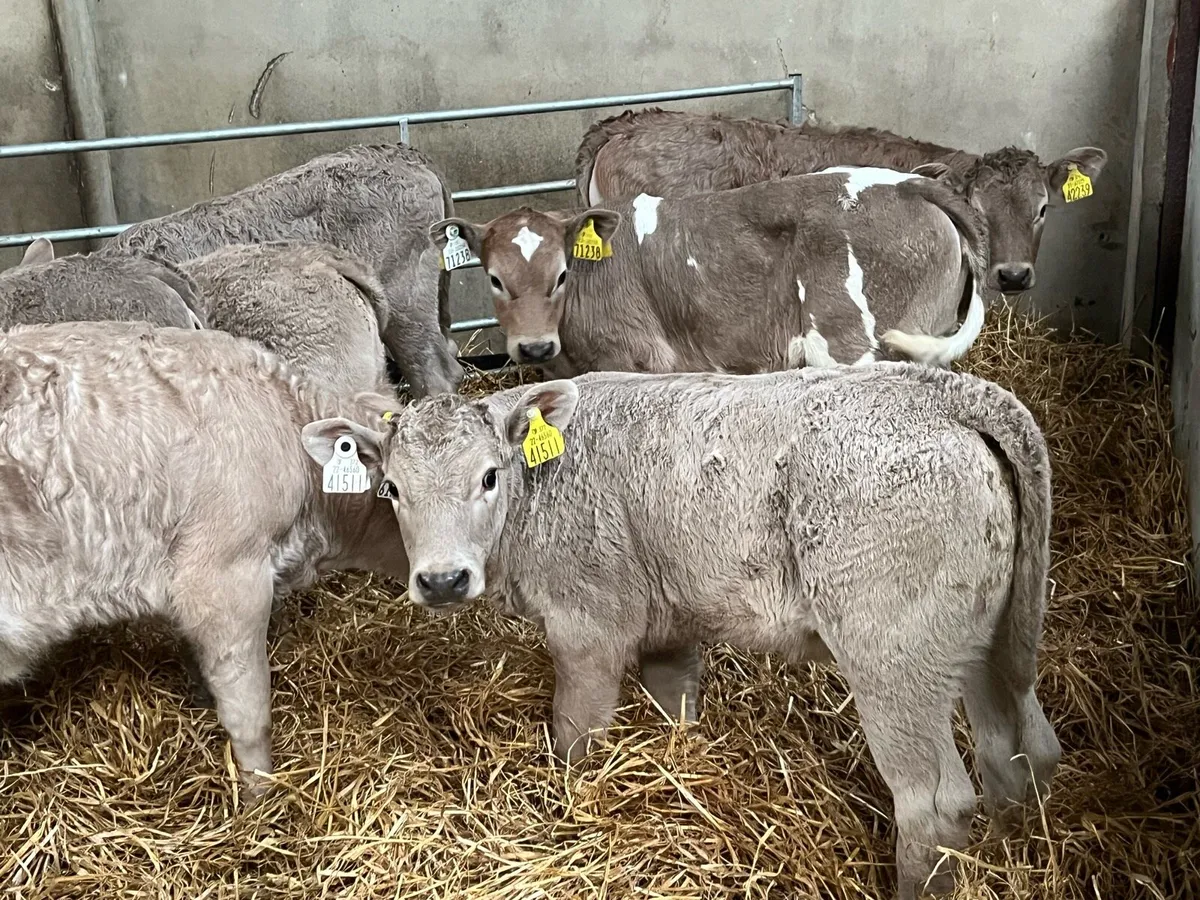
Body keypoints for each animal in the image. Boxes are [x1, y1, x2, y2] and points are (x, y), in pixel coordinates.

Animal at [303, 363, 1061, 899]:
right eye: (391, 489)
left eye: (490, 476)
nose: (441, 581)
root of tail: (942, 392)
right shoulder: (670, 621)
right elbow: (675, 705)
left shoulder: (588, 626)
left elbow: (574, 736)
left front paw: (570, 807)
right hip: (983, 640)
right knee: (1017, 749)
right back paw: (1010, 841)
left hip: (893, 659)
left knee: (935, 803)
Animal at [431, 170, 989, 373]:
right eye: (495, 279)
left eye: (562, 274)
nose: (533, 348)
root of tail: (909, 184)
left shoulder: (636, 361)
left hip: (850, 347)